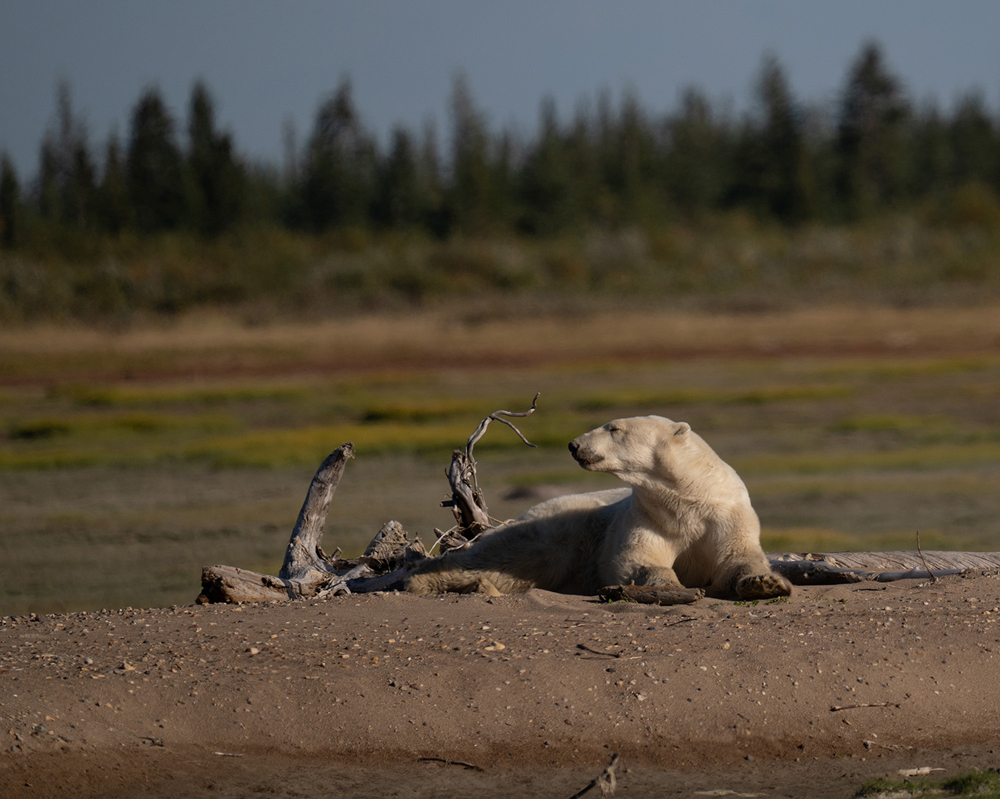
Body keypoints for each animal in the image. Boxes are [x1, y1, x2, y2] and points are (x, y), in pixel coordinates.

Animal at [405, 415, 792, 600]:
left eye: (614, 427)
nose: (574, 445)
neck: (687, 498)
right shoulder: (647, 514)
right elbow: (637, 560)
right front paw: (672, 586)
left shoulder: (724, 515)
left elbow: (737, 557)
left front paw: (766, 584)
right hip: (557, 531)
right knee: (503, 557)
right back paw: (423, 581)